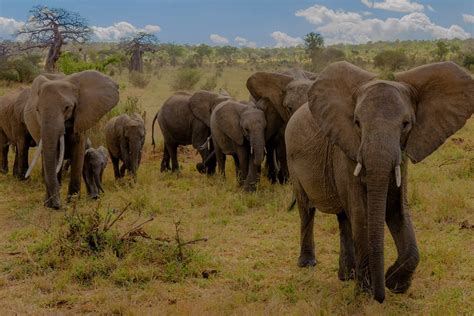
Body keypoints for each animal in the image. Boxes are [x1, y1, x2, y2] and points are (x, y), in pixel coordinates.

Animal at [23, 71, 120, 210]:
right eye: (37, 110)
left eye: (67, 107)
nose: (58, 205)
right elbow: (54, 155)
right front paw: (50, 205)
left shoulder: (82, 118)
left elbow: (78, 153)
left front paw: (72, 201)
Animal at [286, 61, 474, 302]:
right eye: (357, 123)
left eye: (406, 124)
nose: (381, 295)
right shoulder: (346, 150)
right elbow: (361, 213)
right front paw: (366, 292)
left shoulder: (401, 154)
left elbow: (397, 209)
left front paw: (394, 283)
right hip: (292, 161)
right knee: (307, 209)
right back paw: (309, 264)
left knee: (343, 217)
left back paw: (346, 276)